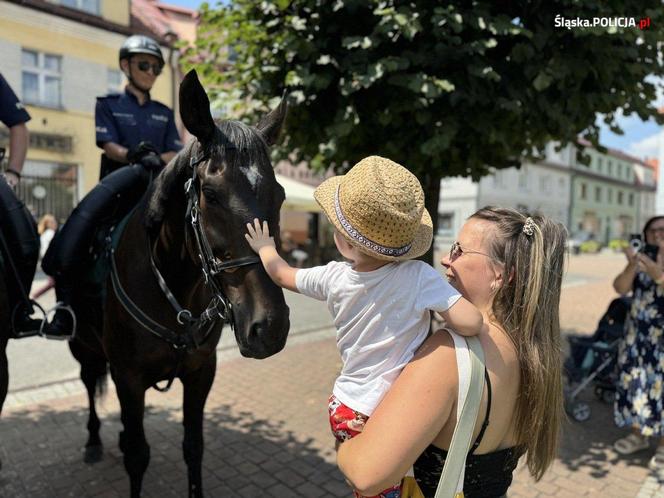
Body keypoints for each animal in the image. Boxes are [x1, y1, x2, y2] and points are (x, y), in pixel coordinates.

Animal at [70, 71, 290, 498]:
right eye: (211, 195)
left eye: (281, 195)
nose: (270, 327)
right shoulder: (128, 378)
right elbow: (138, 455)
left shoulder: (200, 372)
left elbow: (193, 446)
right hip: (82, 345)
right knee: (89, 382)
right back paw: (91, 441)